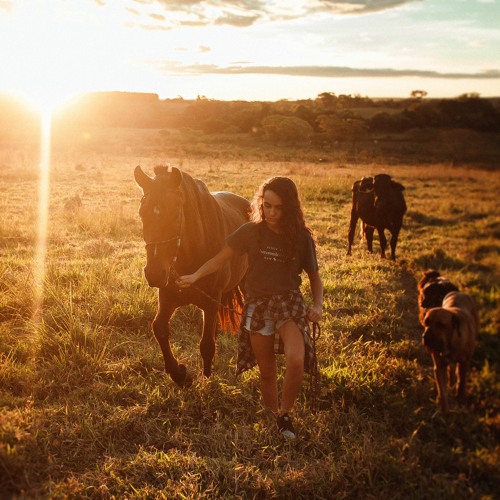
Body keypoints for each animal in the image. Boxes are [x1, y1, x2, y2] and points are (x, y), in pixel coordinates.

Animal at [134, 164, 249, 386]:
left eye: (176, 214)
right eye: (142, 213)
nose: (154, 273)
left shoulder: (211, 302)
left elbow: (206, 345)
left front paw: (206, 378)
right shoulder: (167, 297)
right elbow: (159, 328)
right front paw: (179, 374)